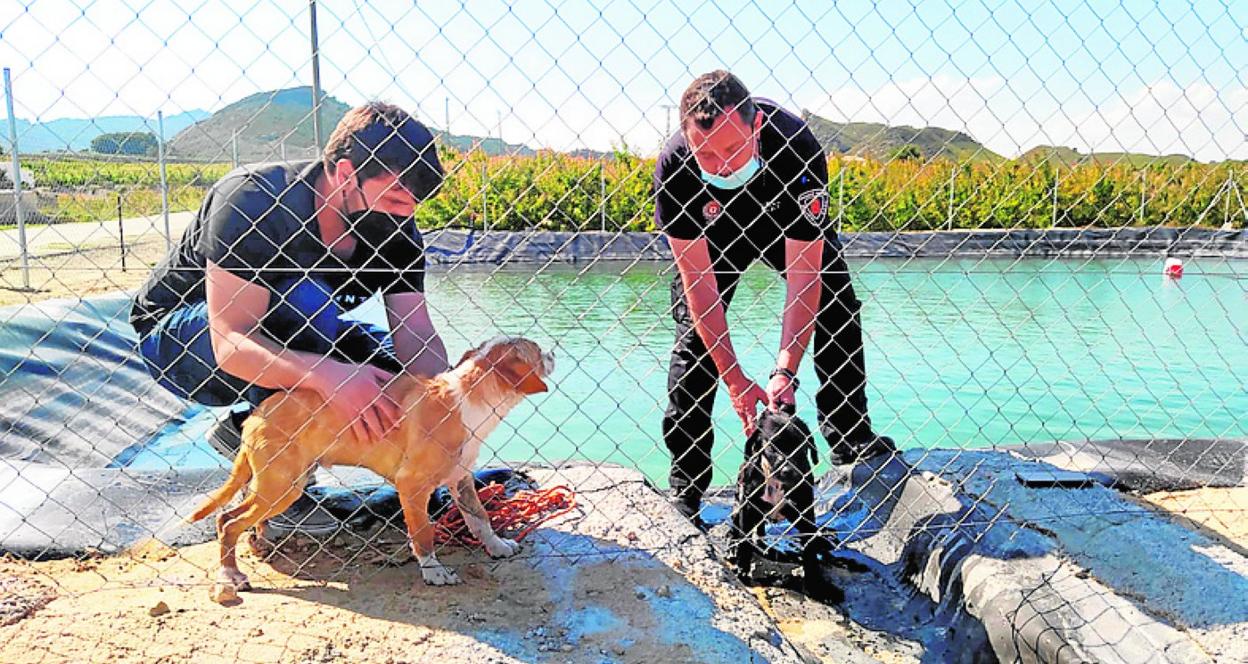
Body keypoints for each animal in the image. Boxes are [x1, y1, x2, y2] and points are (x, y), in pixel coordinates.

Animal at [188, 336, 551, 596]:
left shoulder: (460, 479)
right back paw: (230, 576)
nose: (553, 352)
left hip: (282, 482)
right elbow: (423, 534)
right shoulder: (411, 485)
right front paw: (434, 572)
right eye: (538, 351)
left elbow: (480, 520)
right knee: (227, 521)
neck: (467, 396)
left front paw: (498, 546)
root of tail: (255, 416)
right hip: (282, 485)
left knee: (239, 517)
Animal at [728, 406, 843, 604]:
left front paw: (816, 585)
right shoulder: (748, 508)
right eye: (772, 447)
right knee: (738, 530)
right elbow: (745, 542)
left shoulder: (805, 511)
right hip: (739, 506)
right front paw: (742, 569)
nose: (790, 471)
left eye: (801, 446)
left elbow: (809, 549)